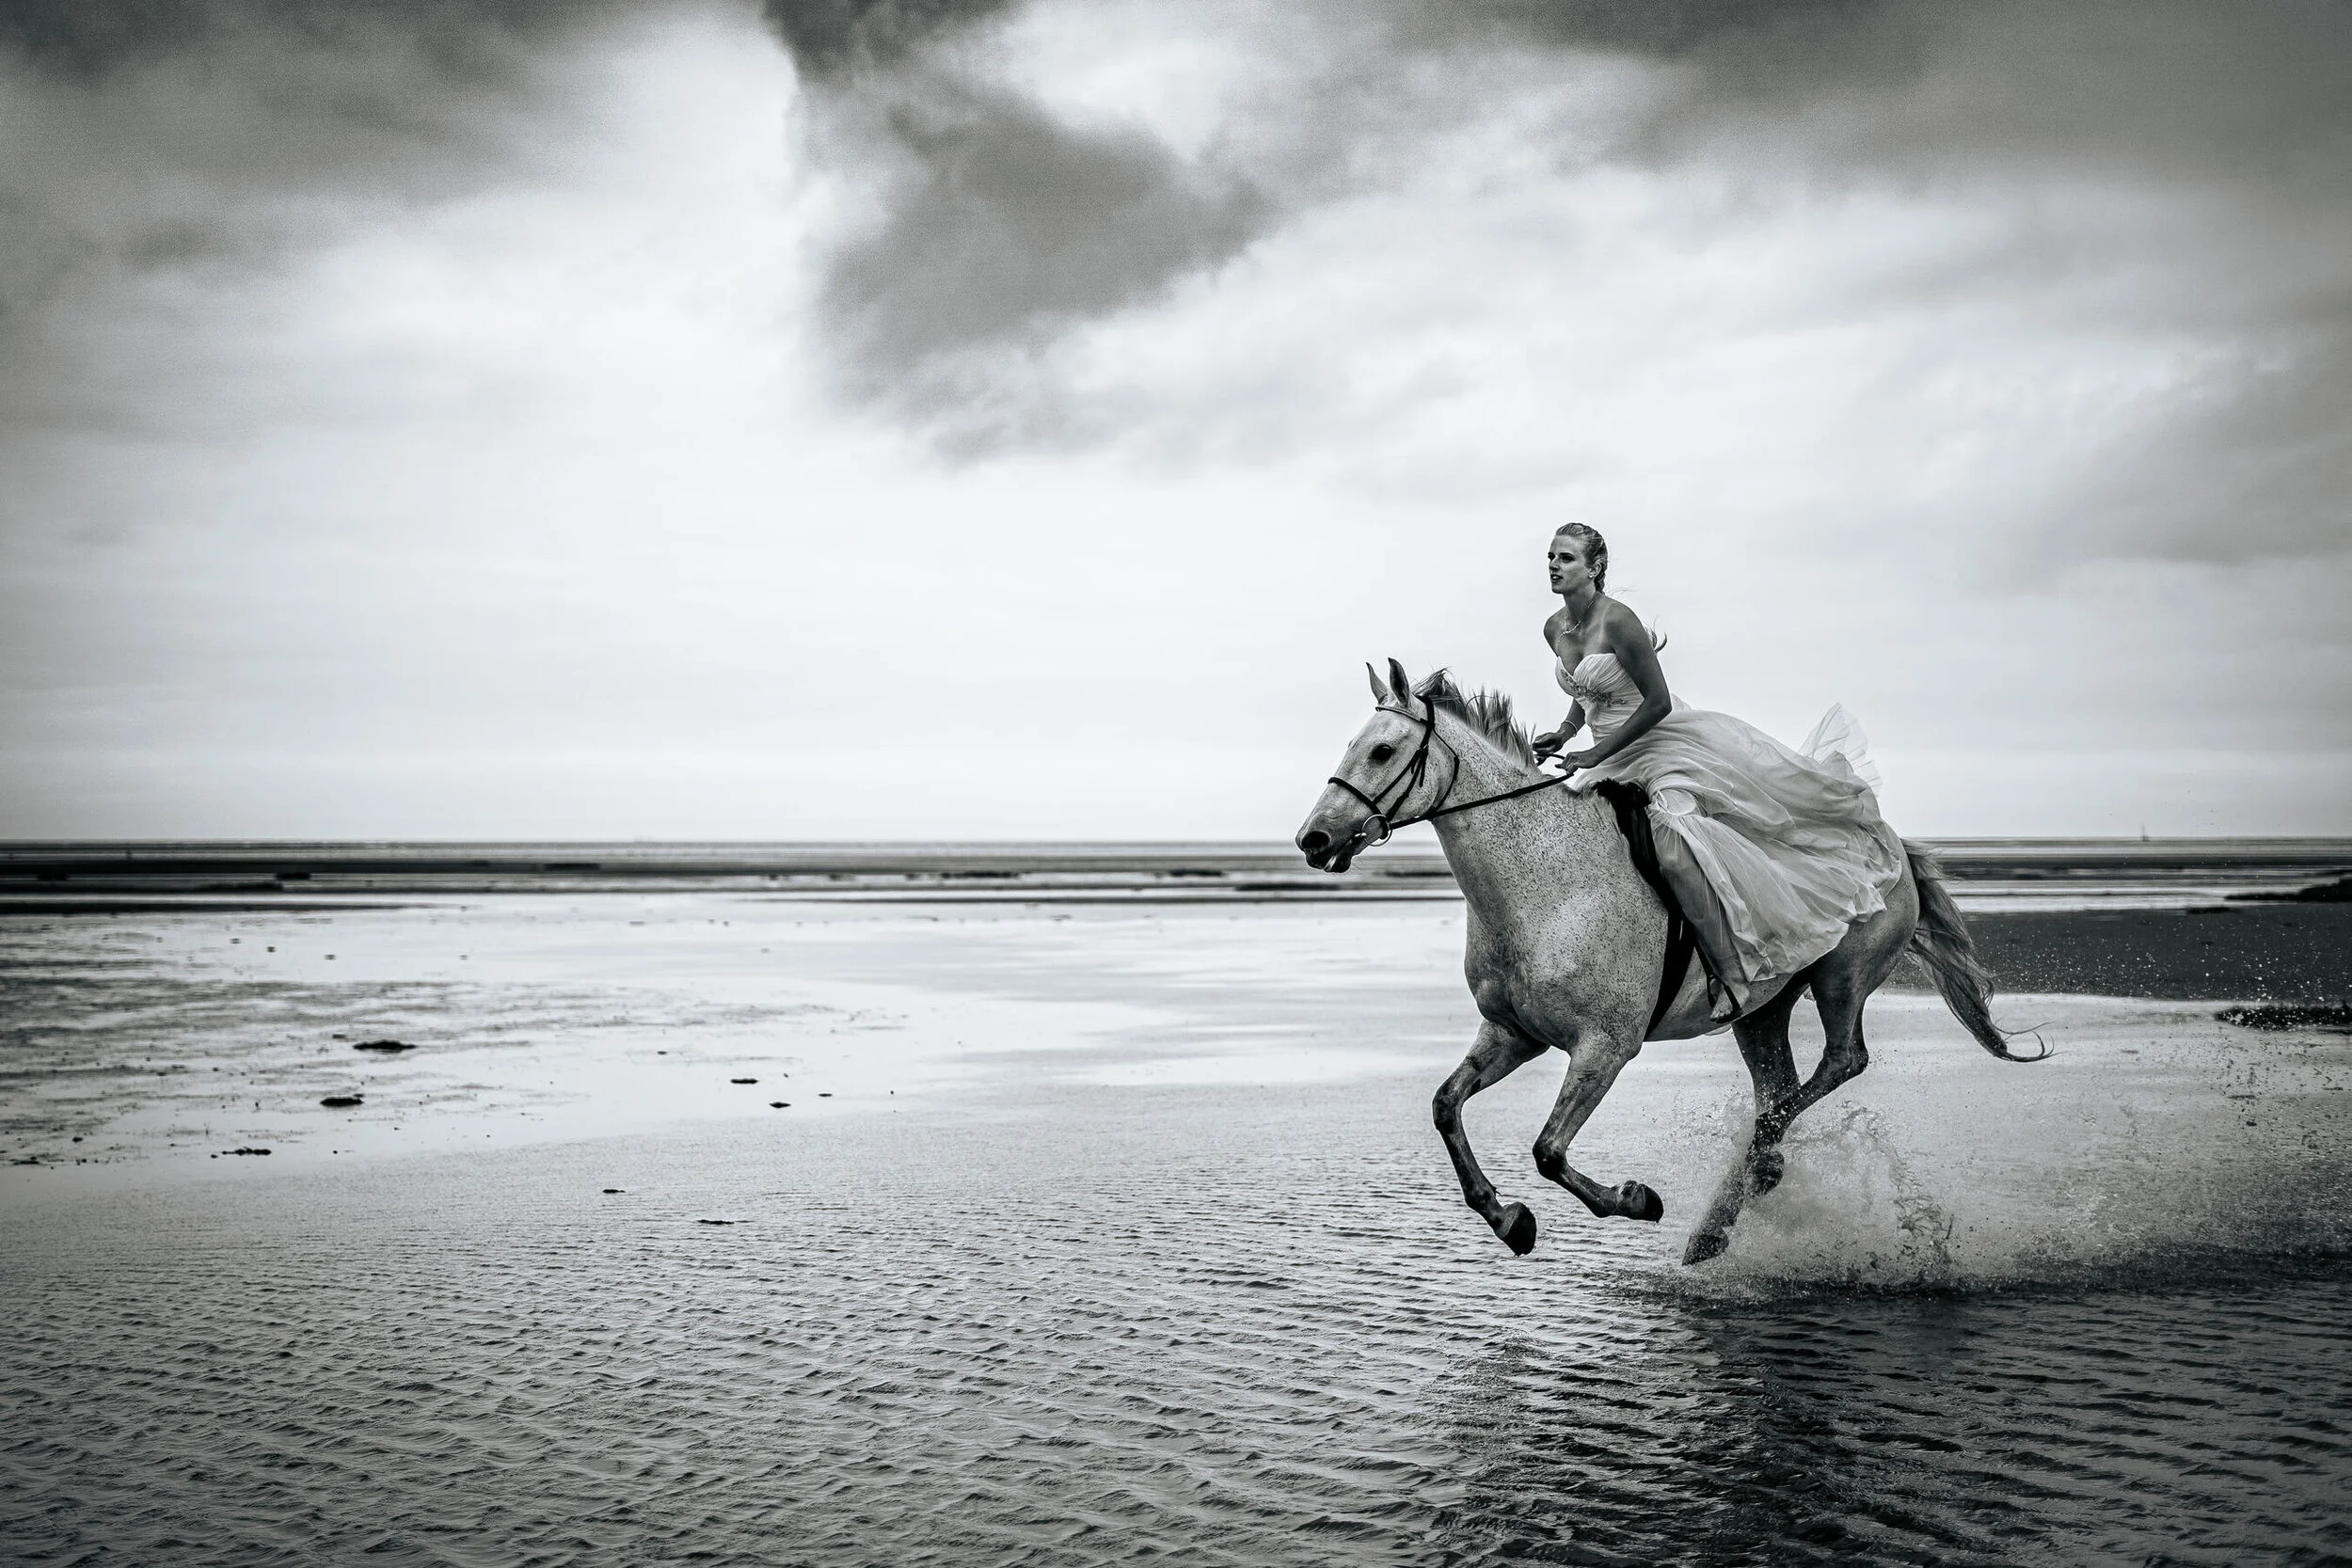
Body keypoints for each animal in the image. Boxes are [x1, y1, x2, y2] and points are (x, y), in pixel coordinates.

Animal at [1292, 659, 2041, 1264]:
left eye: (1382, 750)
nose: (1313, 838)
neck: (1548, 883)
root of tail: (1892, 844)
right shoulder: (1514, 1034)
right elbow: (1446, 1107)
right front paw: (1508, 1220)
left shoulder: (1604, 1045)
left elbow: (1549, 1151)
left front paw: (1635, 1199)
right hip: (1761, 1008)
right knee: (1781, 1089)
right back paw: (1728, 1210)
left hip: (1840, 979)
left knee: (1839, 1063)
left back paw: (1741, 1180)